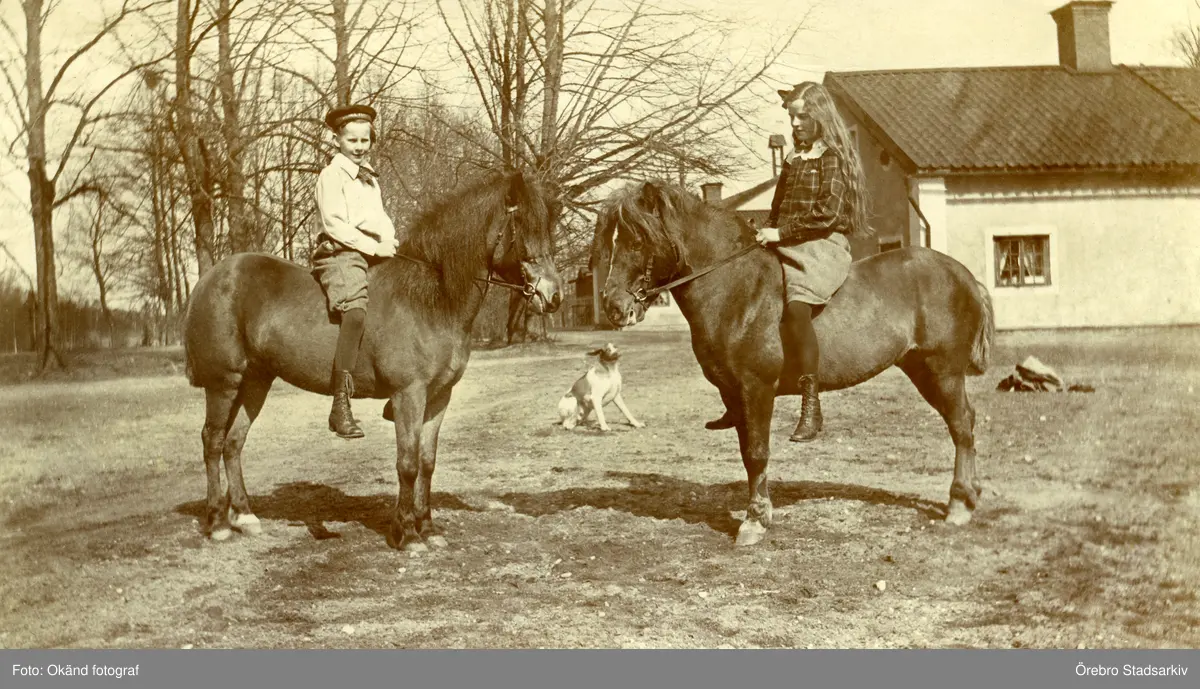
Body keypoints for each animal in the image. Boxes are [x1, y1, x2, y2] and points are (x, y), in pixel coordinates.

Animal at [182, 169, 564, 551]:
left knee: (234, 443)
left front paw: (427, 527)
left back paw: (245, 516)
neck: (430, 297)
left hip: (256, 381)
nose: (554, 296)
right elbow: (408, 463)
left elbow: (427, 462)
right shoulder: (409, 394)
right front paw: (407, 534)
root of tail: (209, 279)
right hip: (224, 382)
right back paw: (217, 522)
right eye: (522, 227)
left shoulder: (439, 397)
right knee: (212, 441)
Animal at [593, 181, 994, 547]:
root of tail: (964, 275)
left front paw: (754, 522)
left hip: (942, 371)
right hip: (921, 370)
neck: (736, 290)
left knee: (961, 426)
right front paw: (760, 513)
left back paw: (959, 505)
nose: (613, 307)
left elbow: (757, 453)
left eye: (637, 240)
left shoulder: (757, 389)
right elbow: (748, 454)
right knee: (965, 422)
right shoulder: (736, 395)